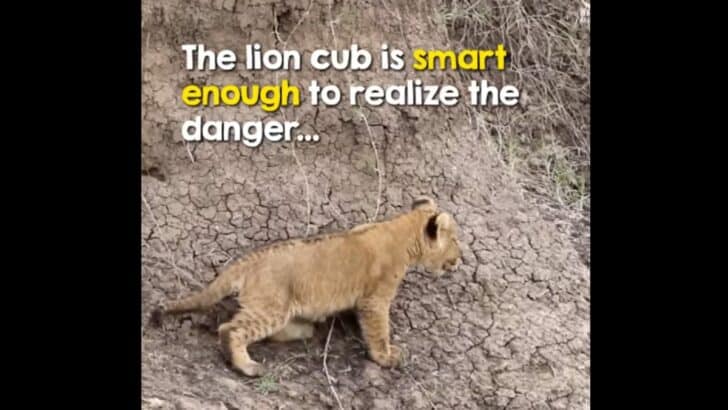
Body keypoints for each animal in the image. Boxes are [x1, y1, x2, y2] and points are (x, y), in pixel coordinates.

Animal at [153, 196, 462, 377]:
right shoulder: (375, 299)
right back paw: (248, 367)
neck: (404, 232)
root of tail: (251, 258)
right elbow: (378, 330)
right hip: (271, 307)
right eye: (455, 240)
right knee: (230, 329)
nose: (460, 259)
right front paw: (385, 357)